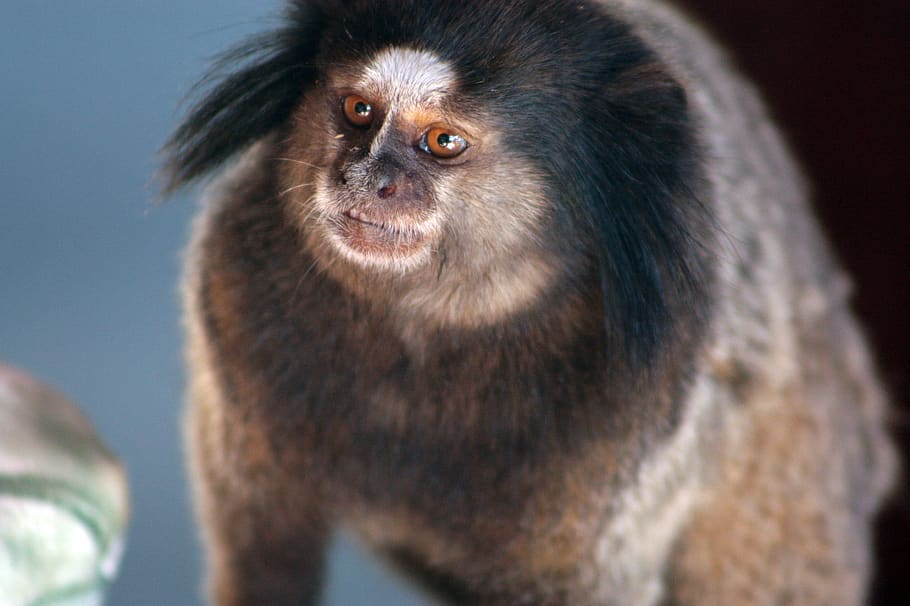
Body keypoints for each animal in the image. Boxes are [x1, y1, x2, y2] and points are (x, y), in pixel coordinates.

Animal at [162, 0, 897, 604]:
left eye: (443, 141)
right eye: (358, 111)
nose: (366, 178)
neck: (420, 338)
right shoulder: (235, 324)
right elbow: (261, 543)